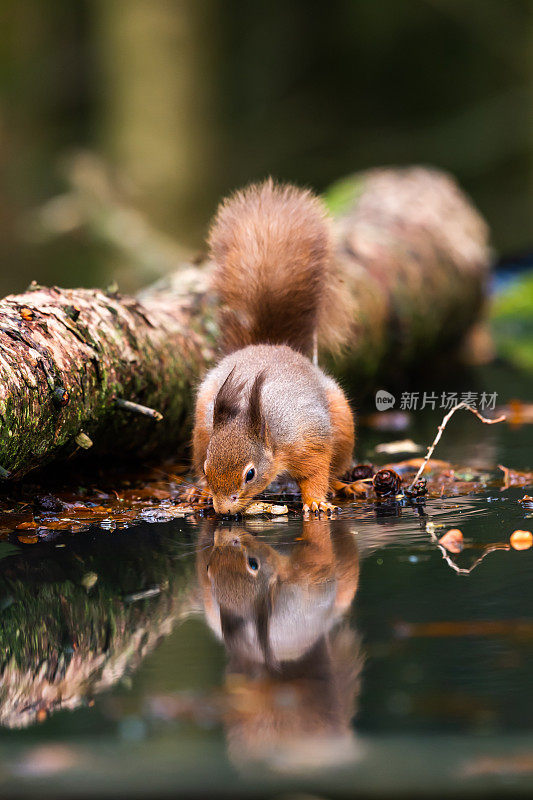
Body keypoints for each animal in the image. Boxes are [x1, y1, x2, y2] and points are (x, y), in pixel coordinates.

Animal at [191, 177, 354, 512]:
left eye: (250, 474)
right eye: (208, 468)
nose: (223, 510)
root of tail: (270, 344)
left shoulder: (309, 438)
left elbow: (316, 472)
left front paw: (316, 502)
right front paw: (203, 489)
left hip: (342, 422)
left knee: (336, 467)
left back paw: (343, 484)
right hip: (201, 428)